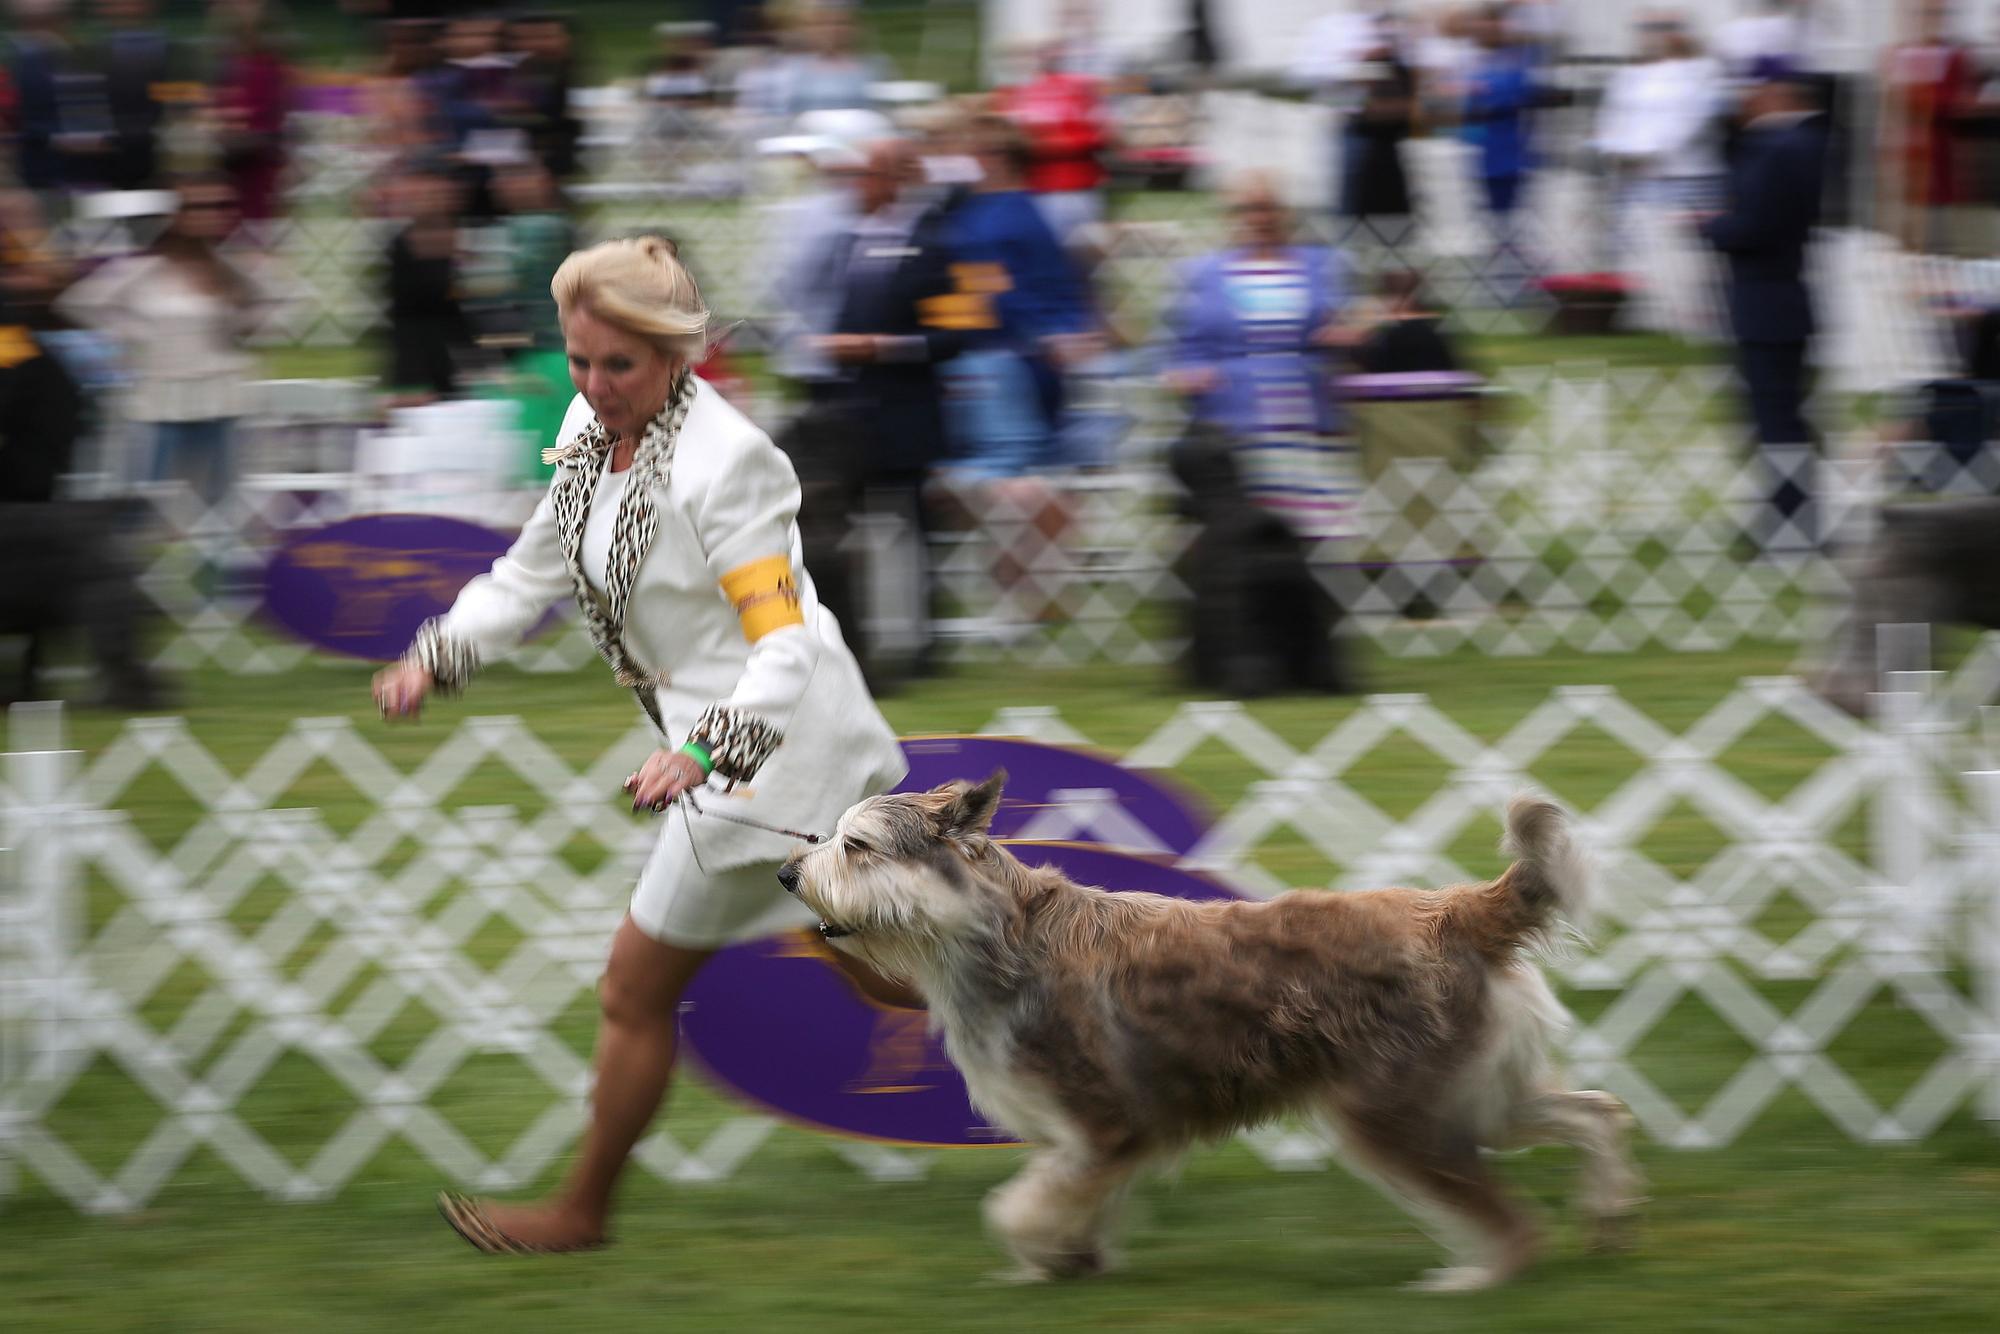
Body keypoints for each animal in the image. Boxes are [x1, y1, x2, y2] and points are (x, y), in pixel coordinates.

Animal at [776, 776, 1640, 1288]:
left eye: (857, 847)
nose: (787, 874)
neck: (992, 932)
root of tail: (1456, 911)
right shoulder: (1087, 1140)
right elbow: (1069, 1197)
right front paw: (1070, 1264)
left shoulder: (1105, 1122)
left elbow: (1019, 1206)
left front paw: (1035, 1258)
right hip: (1476, 1092)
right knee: (1595, 1111)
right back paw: (1607, 1214)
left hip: (1397, 1109)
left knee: (1505, 1214)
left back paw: (1478, 1277)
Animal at [1168, 426, 1352, 700]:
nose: (1199, 427)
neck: (1223, 503)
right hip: (1310, 620)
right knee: (1323, 658)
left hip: (1250, 622)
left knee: (1251, 660)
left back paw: (1245, 688)